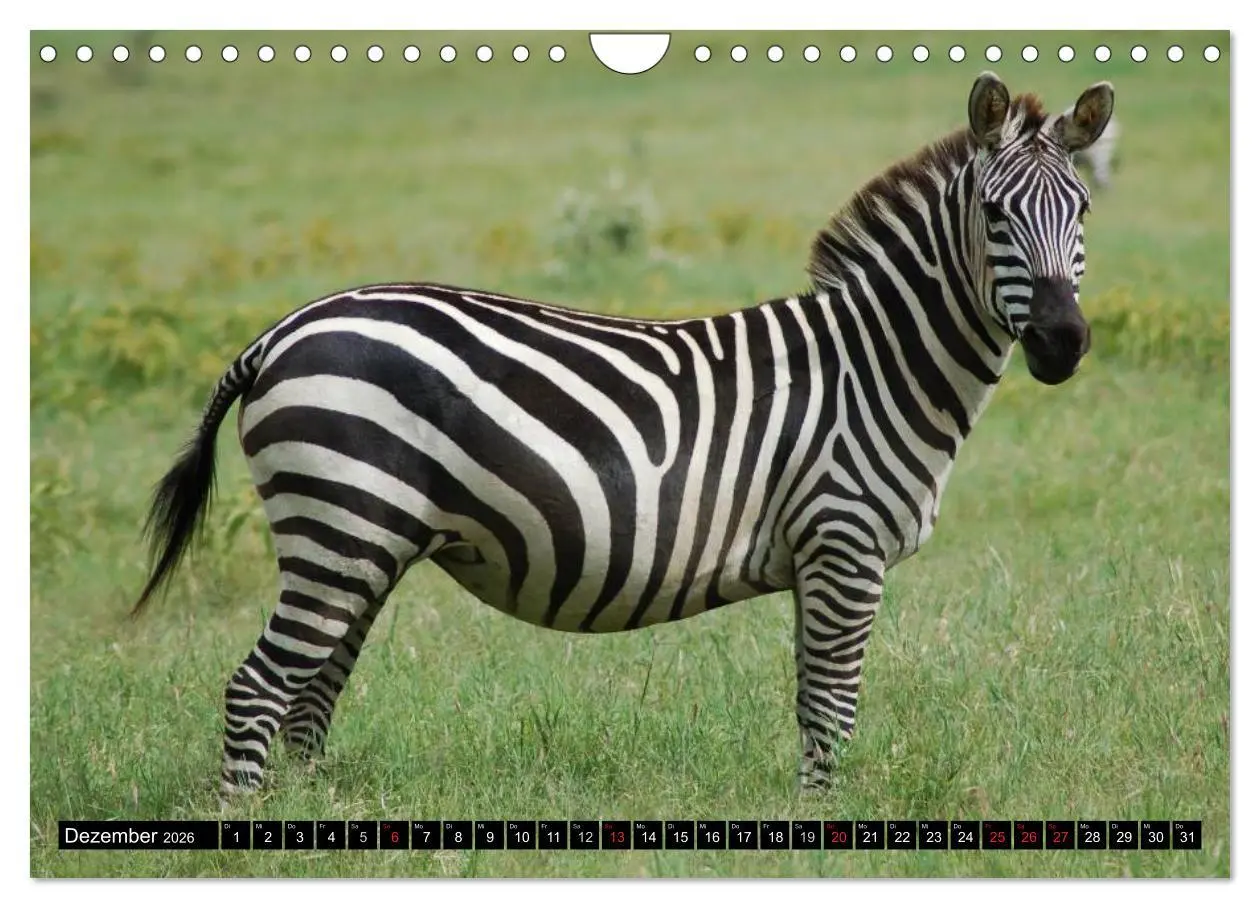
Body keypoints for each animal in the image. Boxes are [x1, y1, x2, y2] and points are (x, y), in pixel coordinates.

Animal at [132, 72, 1113, 797]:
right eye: (995, 216)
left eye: (1084, 213)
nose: (1062, 342)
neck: (874, 365)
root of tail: (279, 331)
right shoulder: (844, 544)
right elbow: (833, 708)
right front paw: (822, 830)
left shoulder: (818, 557)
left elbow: (812, 703)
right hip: (342, 523)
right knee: (260, 687)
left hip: (363, 538)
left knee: (311, 691)